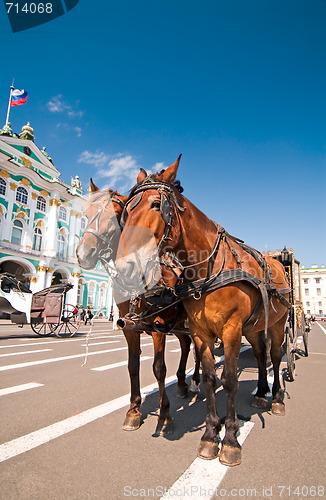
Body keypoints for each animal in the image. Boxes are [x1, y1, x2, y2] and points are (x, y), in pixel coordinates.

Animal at [77, 182, 201, 436]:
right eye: (87, 213)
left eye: (114, 215)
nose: (84, 254)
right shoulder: (129, 328)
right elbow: (133, 366)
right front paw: (133, 411)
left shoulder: (158, 328)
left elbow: (159, 368)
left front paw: (165, 416)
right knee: (185, 345)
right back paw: (182, 383)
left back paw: (195, 381)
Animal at [115, 156, 290, 464]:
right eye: (127, 211)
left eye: (156, 204)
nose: (125, 265)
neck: (206, 269)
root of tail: (276, 262)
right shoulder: (199, 332)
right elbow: (209, 379)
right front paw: (210, 435)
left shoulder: (230, 330)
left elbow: (229, 380)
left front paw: (230, 440)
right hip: (253, 329)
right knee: (260, 355)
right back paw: (260, 391)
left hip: (277, 324)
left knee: (276, 356)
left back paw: (277, 398)